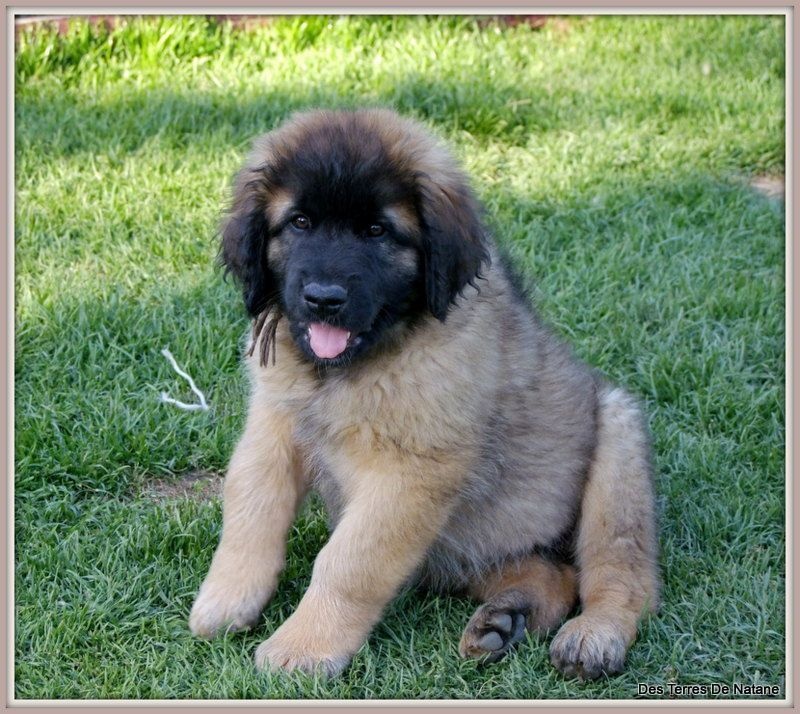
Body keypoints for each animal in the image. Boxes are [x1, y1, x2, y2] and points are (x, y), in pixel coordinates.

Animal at [188, 108, 660, 680]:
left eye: (377, 231)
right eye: (299, 223)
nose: (323, 299)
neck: (351, 368)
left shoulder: (412, 473)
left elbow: (348, 563)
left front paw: (304, 646)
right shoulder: (274, 425)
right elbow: (250, 509)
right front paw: (227, 597)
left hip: (617, 435)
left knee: (624, 575)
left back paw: (595, 635)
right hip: (474, 541)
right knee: (553, 573)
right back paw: (506, 619)